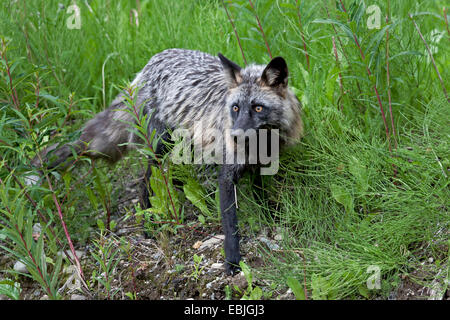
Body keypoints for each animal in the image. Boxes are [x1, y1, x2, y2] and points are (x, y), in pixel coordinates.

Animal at [33, 48, 304, 274]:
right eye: (235, 108)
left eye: (258, 108)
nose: (235, 136)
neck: (261, 143)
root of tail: (152, 62)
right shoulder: (226, 175)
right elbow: (231, 228)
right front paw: (232, 263)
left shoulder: (260, 166)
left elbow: (261, 197)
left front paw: (270, 220)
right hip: (161, 148)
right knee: (144, 183)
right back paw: (148, 226)